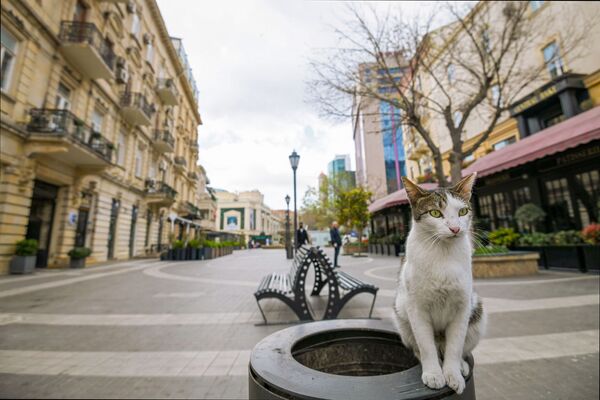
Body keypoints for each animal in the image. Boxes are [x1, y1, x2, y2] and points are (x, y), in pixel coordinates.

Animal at [394, 173, 488, 396]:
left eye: (463, 211)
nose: (455, 228)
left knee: (459, 348)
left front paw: (452, 374)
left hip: (477, 314)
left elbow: (455, 346)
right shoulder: (416, 308)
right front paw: (434, 374)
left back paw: (461, 365)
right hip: (402, 318)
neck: (443, 252)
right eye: (435, 213)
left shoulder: (462, 306)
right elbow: (426, 346)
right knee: (421, 347)